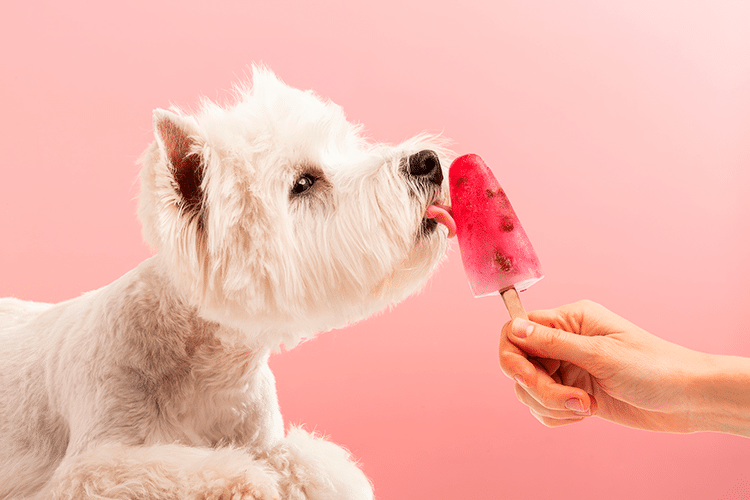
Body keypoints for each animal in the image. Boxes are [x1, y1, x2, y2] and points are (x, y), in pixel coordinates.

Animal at [0, 67, 456, 500]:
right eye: (303, 183)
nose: (428, 161)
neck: (209, 370)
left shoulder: (264, 434)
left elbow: (312, 465)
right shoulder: (91, 464)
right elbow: (190, 473)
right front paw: (247, 480)